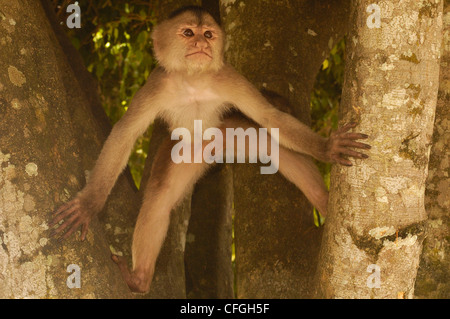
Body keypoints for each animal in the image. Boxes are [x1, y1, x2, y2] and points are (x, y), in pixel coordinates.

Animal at [50, 5, 370, 296]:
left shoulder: (229, 78)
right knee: (160, 199)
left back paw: (323, 200)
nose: (202, 45)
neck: (193, 81)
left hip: (229, 132)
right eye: (188, 33)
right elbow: (124, 134)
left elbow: (270, 117)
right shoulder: (157, 84)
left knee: (274, 146)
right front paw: (89, 204)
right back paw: (139, 279)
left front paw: (327, 148)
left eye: (208, 34)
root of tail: (215, 151)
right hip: (188, 152)